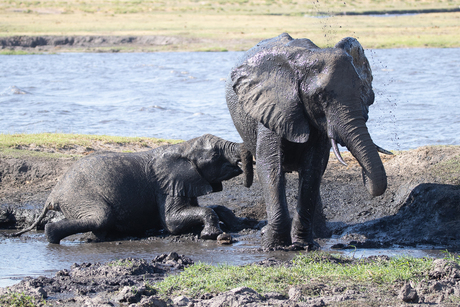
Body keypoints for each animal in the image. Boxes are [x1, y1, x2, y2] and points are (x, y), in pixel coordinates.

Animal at [13, 135, 248, 245]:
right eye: (215, 155)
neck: (183, 147)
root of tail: (53, 195)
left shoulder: (185, 182)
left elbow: (212, 207)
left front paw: (240, 224)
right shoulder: (165, 186)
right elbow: (171, 222)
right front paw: (212, 235)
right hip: (79, 197)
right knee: (101, 217)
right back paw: (51, 234)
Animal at [226, 33, 392, 250]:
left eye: (362, 91)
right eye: (320, 97)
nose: (365, 176)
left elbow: (313, 168)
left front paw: (302, 245)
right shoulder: (272, 107)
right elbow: (270, 166)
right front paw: (274, 246)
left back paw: (321, 234)